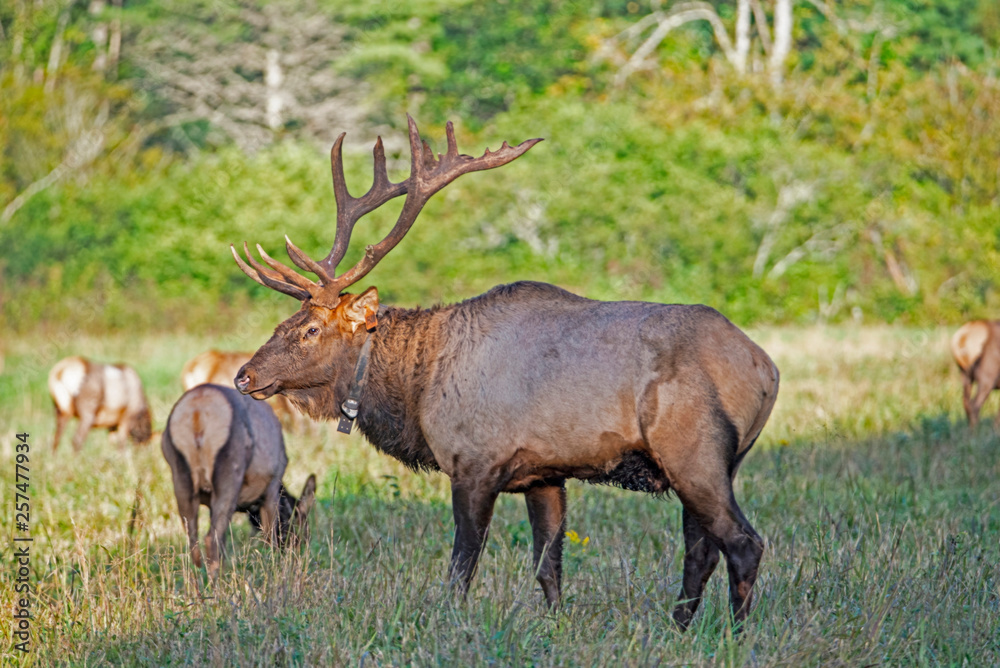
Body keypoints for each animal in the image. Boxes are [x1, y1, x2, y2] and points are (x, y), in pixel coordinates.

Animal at [161, 383, 317, 576]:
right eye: (300, 524)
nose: (299, 551)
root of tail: (197, 413)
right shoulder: (272, 486)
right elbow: (270, 537)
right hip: (230, 475)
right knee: (211, 540)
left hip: (180, 477)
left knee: (194, 544)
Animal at [229, 116, 779, 628]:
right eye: (287, 321)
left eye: (311, 329)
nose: (244, 376)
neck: (415, 387)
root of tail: (767, 369)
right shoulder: (545, 474)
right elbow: (548, 566)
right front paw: (556, 624)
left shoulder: (474, 463)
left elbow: (461, 568)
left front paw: (446, 621)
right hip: (716, 463)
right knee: (701, 549)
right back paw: (679, 627)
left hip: (693, 452)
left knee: (744, 543)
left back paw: (732, 634)